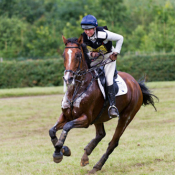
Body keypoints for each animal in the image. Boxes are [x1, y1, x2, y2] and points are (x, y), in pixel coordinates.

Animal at [48, 34, 158, 174]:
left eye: (78, 55)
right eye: (63, 55)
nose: (68, 78)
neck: (77, 89)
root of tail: (136, 84)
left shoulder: (85, 119)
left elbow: (67, 127)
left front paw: (59, 152)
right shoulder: (66, 116)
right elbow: (52, 130)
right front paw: (62, 150)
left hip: (126, 117)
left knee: (113, 142)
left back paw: (97, 166)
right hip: (99, 117)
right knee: (101, 134)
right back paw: (86, 154)